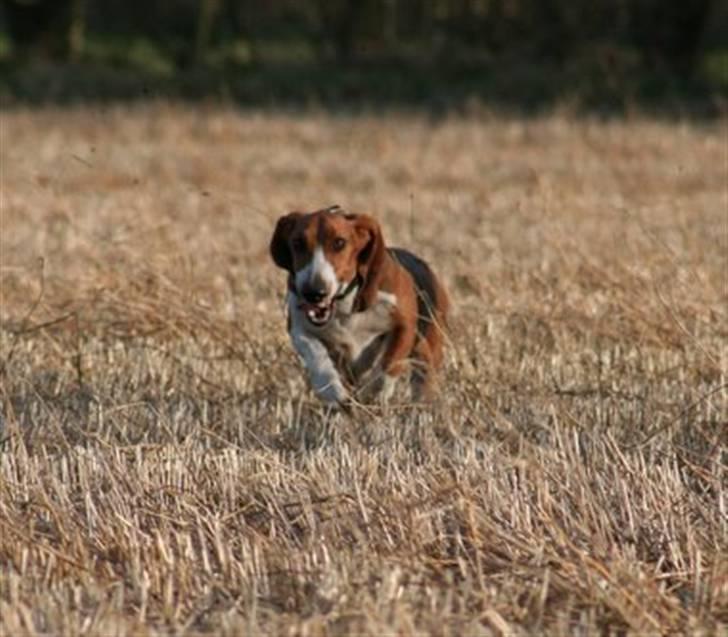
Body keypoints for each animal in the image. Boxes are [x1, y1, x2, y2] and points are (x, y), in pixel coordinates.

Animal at [268, 205, 446, 408]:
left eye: (339, 243)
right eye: (298, 242)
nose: (313, 293)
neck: (344, 304)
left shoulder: (404, 326)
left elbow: (389, 363)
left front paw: (373, 395)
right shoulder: (299, 329)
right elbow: (316, 355)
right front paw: (332, 391)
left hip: (427, 347)